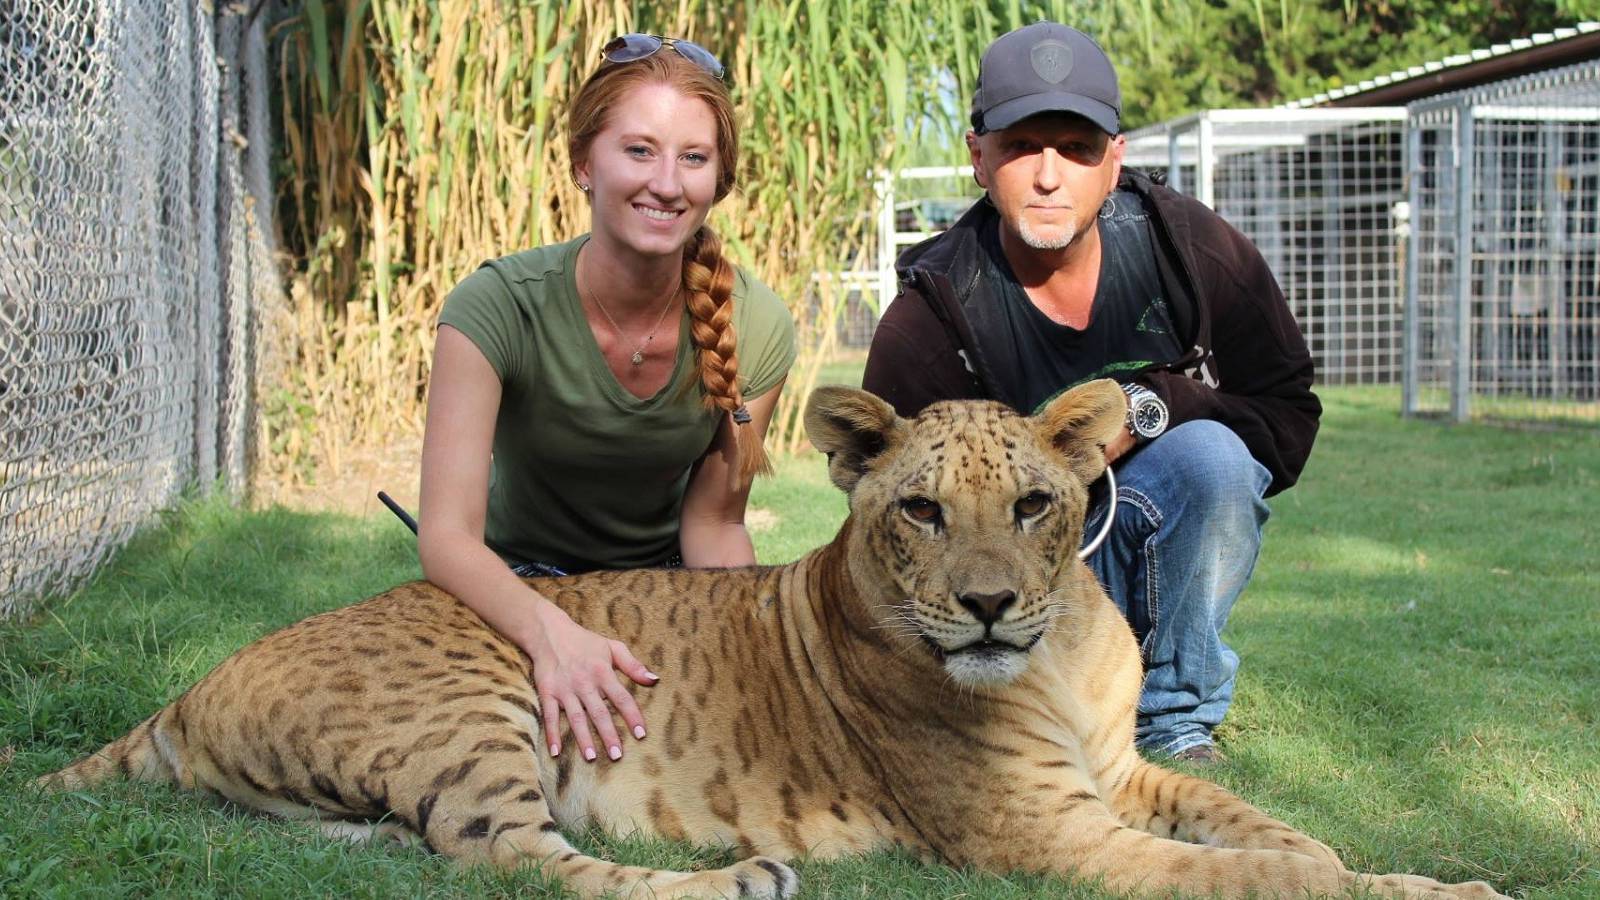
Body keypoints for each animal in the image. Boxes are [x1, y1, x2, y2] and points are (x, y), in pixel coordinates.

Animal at [39, 380, 1509, 899]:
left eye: (1035, 507)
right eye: (920, 511)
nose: (988, 605)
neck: (1055, 656)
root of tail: (186, 690)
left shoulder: (1117, 773)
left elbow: (1249, 818)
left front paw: (1331, 843)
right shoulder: (1043, 834)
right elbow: (1256, 875)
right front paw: (1436, 890)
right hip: (480, 703)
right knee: (525, 866)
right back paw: (742, 881)